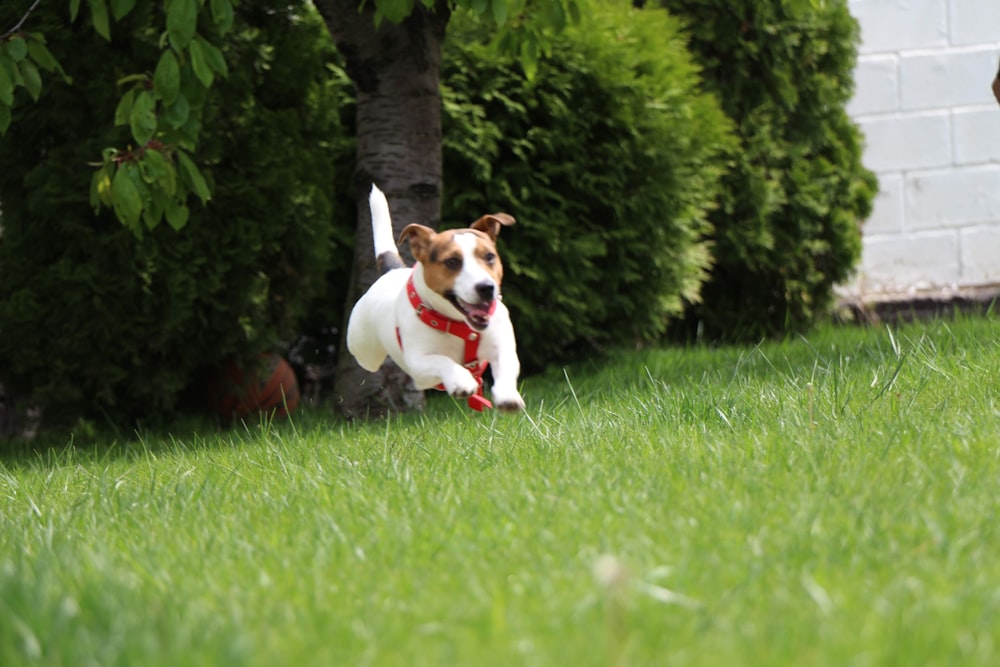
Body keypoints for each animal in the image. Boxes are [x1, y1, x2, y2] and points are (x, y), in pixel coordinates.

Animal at [348, 183, 528, 412]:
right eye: (452, 262)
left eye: (489, 256)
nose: (487, 288)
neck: (459, 324)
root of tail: (392, 271)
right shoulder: (418, 363)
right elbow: (441, 360)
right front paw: (461, 380)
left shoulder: (502, 345)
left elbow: (506, 363)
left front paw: (507, 394)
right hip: (363, 348)